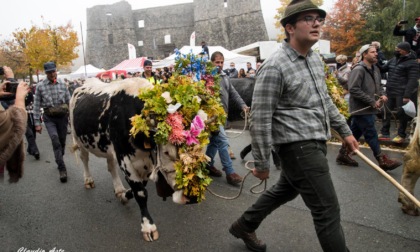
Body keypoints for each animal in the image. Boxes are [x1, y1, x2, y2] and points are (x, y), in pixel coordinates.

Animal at [69, 78, 194, 241]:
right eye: (167, 152)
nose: (191, 196)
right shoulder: (125, 159)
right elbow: (140, 192)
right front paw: (148, 226)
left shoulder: (144, 163)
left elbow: (138, 188)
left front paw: (124, 195)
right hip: (78, 139)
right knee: (85, 159)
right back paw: (88, 180)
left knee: (111, 165)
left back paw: (118, 189)